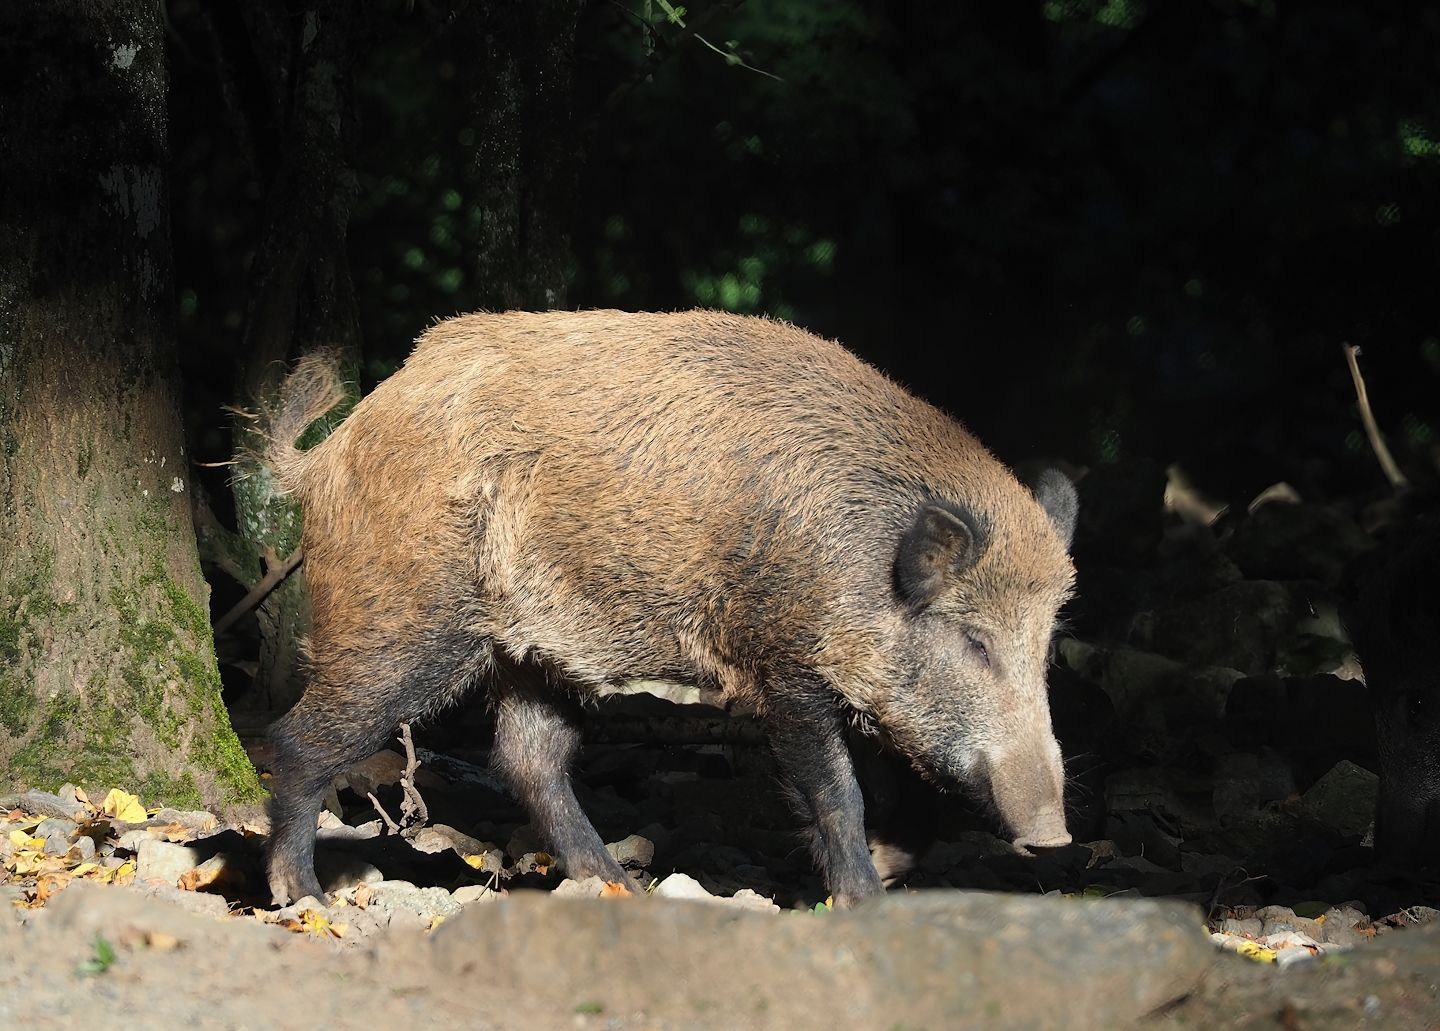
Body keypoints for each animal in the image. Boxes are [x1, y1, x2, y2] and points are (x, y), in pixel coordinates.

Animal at [261, 310, 1079, 907]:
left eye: (1045, 646)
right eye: (974, 641)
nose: (1055, 837)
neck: (865, 565)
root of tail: (323, 455)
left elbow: (910, 793)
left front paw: (887, 869)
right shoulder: (783, 663)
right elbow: (836, 790)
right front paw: (865, 900)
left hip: (534, 652)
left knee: (528, 759)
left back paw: (617, 885)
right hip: (403, 621)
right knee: (297, 738)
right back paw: (305, 898)